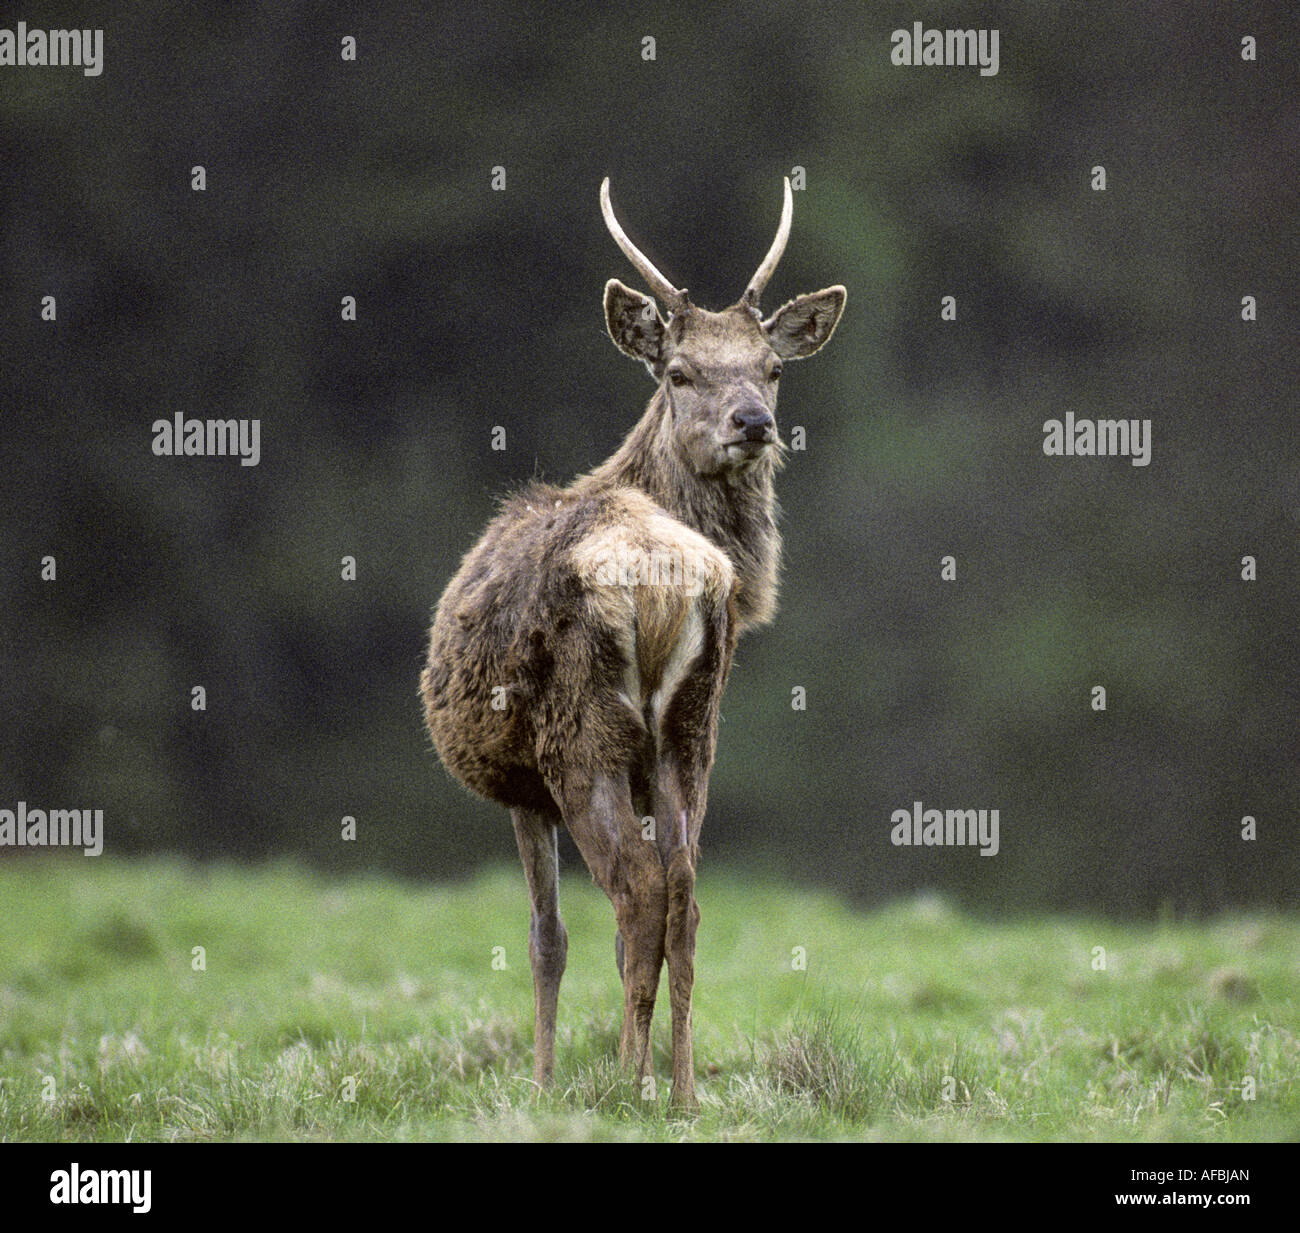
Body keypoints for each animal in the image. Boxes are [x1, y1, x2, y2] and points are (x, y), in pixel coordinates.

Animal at [421, 177, 845, 1109]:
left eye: (772, 367)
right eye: (681, 371)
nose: (754, 421)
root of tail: (661, 582)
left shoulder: (521, 785)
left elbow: (547, 937)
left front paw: (543, 1084)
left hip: (585, 732)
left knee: (636, 891)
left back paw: (622, 1083)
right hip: (691, 726)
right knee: (684, 892)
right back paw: (680, 1091)